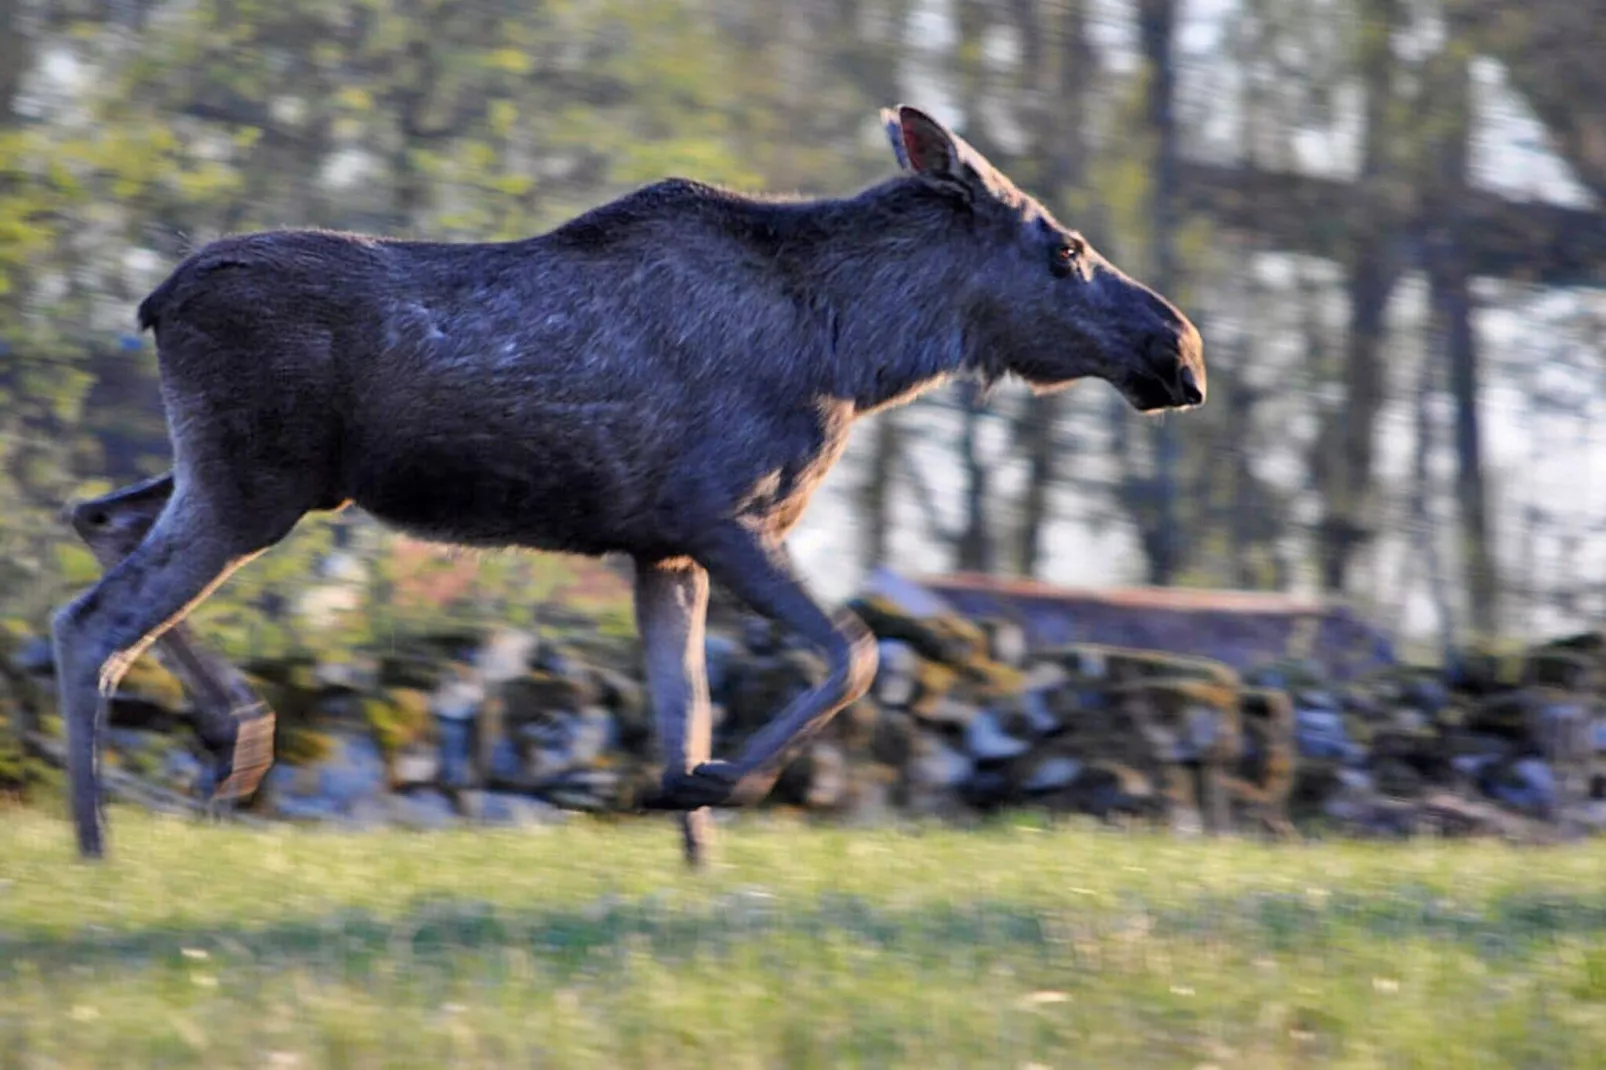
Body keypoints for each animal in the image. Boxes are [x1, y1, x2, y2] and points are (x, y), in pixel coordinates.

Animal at [50, 104, 1207, 861]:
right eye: (1066, 247)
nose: (1181, 349)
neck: (860, 354)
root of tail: (155, 300)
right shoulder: (719, 513)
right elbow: (857, 650)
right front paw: (723, 783)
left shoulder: (663, 549)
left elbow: (681, 708)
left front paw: (694, 848)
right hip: (255, 481)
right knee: (88, 620)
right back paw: (100, 839)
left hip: (260, 479)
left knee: (98, 513)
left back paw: (234, 739)